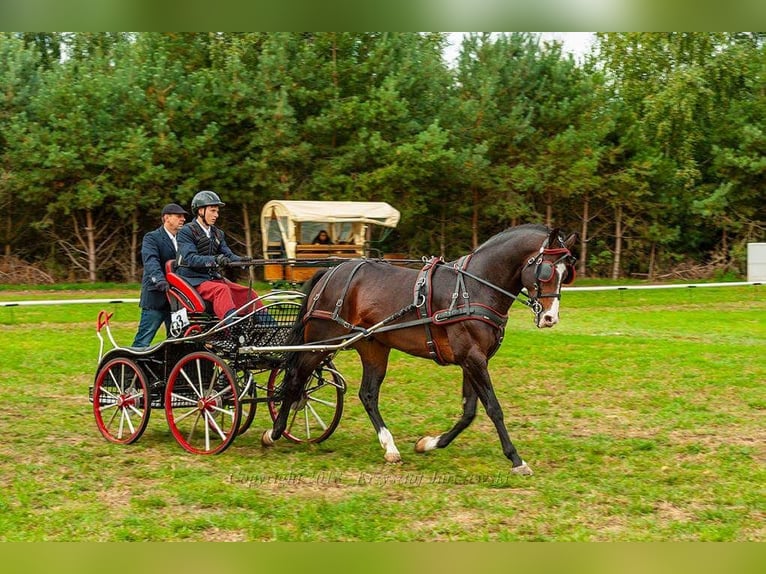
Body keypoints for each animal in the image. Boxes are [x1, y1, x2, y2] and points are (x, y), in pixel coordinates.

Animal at [262, 223, 576, 474]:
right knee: (296, 380)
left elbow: (469, 412)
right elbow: (493, 408)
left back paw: (389, 447)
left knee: (367, 394)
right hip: (320, 343)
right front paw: (516, 459)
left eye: (566, 273)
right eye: (547, 271)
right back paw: (275, 431)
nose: (550, 318)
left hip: (373, 347)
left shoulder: (472, 360)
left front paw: (429, 443)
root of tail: (331, 271)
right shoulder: (473, 359)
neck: (473, 288)